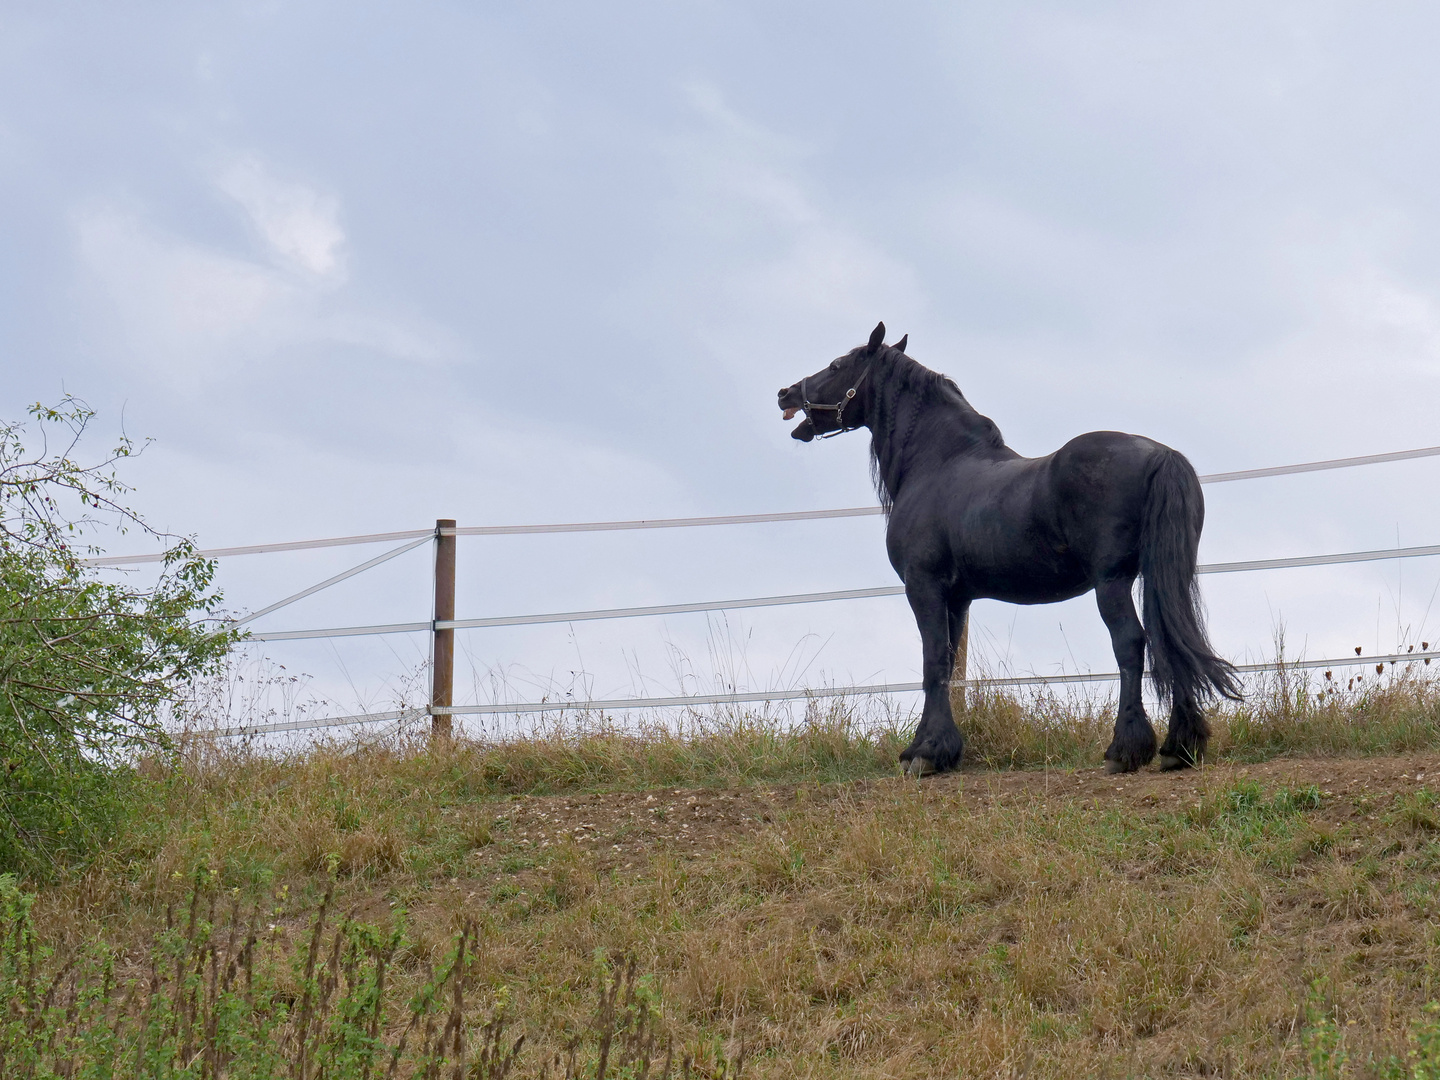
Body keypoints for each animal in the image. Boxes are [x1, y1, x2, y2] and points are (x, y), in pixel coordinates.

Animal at [777, 324, 1238, 777]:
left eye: (838, 365)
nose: (786, 393)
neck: (939, 464)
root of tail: (1162, 455)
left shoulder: (923, 586)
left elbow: (933, 663)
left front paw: (922, 753)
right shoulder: (957, 597)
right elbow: (947, 664)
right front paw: (941, 750)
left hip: (1112, 582)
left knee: (1131, 643)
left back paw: (1124, 750)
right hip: (1160, 575)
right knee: (1171, 640)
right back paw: (1179, 748)